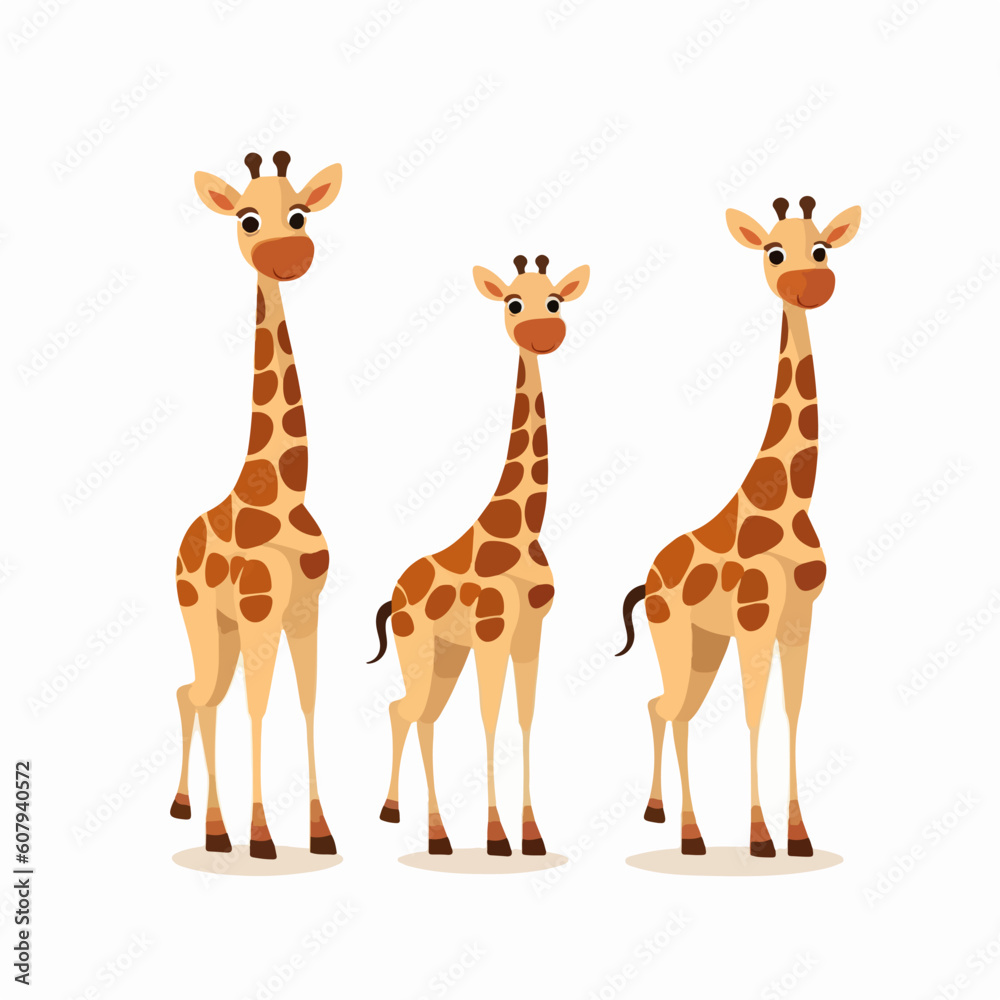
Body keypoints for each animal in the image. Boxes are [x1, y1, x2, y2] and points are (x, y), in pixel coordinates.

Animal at [368, 254, 590, 857]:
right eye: (513, 302)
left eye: (555, 300)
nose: (545, 332)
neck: (521, 530)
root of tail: (393, 598)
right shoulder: (492, 630)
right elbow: (490, 719)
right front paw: (496, 838)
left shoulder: (531, 630)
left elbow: (525, 718)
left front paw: (531, 835)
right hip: (420, 648)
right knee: (405, 710)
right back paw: (409, 820)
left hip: (447, 654)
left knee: (422, 717)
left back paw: (431, 830)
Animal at [617, 197, 860, 858]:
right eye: (773, 252)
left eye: (822, 247)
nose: (811, 285)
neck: (789, 502)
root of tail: (647, 582)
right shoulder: (756, 615)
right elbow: (754, 714)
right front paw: (759, 838)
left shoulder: (801, 614)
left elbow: (791, 712)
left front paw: (798, 835)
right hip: (679, 638)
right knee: (670, 708)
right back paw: (687, 833)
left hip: (705, 644)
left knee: (669, 708)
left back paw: (670, 820)